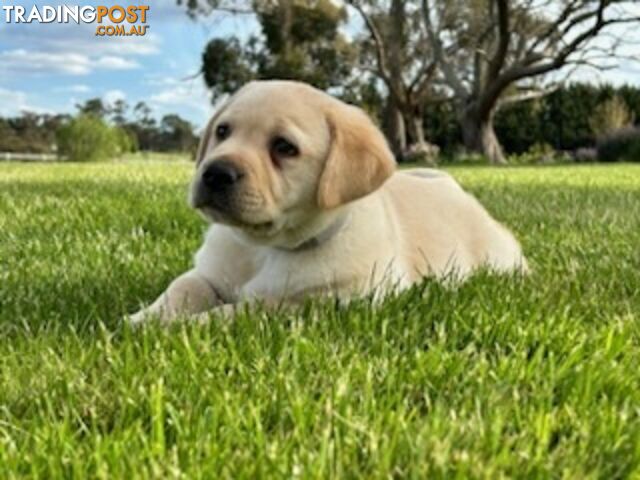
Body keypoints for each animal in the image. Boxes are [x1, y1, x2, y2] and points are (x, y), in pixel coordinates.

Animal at [129, 80, 524, 324]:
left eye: (284, 147)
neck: (264, 248)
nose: (215, 173)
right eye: (222, 131)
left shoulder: (321, 304)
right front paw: (144, 319)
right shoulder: (208, 273)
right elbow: (183, 287)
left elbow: (245, 310)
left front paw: (185, 326)